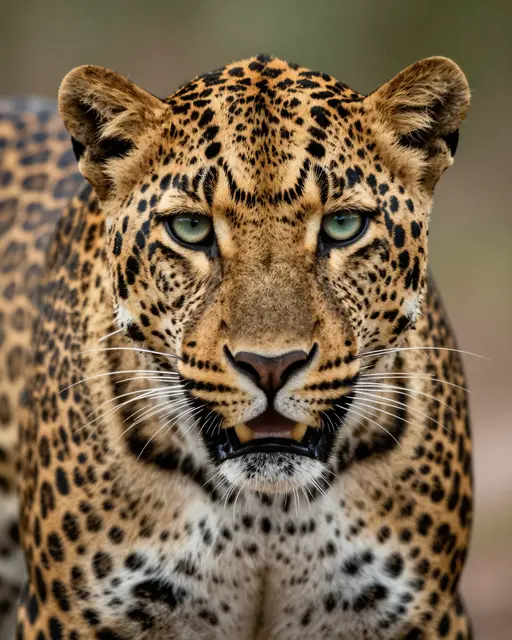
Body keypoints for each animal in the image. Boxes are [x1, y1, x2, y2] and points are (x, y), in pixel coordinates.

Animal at [0, 54, 473, 639]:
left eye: (344, 225)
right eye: (189, 228)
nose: (270, 366)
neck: (265, 515)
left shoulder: (422, 613)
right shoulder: (69, 614)